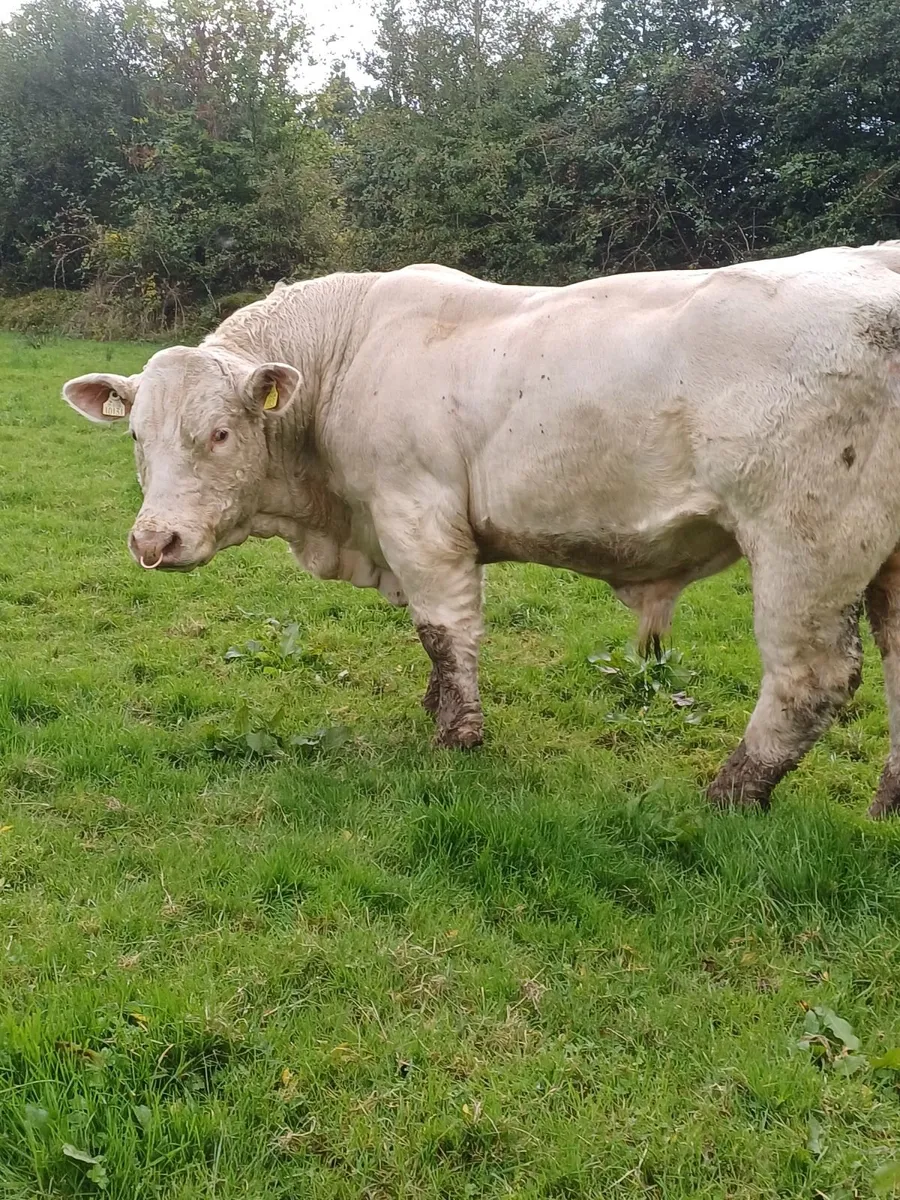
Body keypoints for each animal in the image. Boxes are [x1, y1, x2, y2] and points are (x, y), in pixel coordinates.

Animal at [63, 243, 900, 816]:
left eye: (220, 434)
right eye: (135, 434)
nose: (154, 542)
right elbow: (433, 636)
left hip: (805, 542)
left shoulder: (417, 512)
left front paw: (456, 734)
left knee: (810, 678)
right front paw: (437, 707)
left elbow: (445, 627)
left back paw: (730, 793)